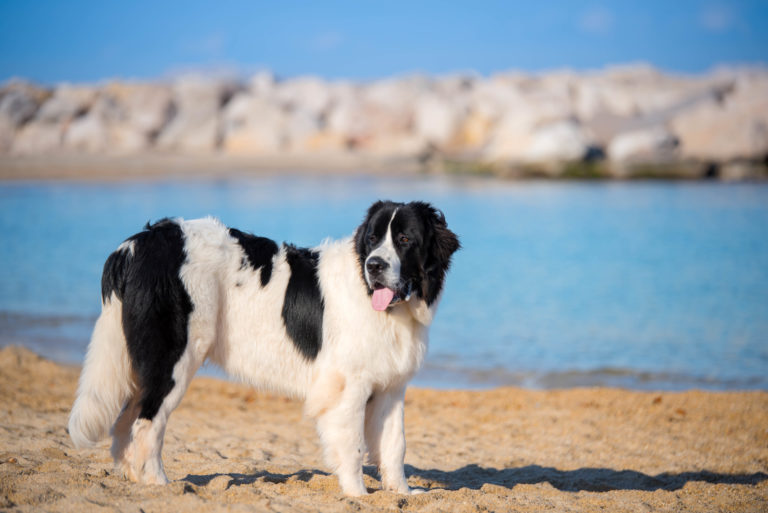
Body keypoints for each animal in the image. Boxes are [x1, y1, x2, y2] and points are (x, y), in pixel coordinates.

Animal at [69, 198, 460, 494]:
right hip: (174, 360)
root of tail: (138, 243)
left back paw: (134, 478)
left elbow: (394, 445)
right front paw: (357, 495)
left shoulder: (391, 388)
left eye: (405, 238)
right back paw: (160, 484)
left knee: (126, 421)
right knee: (147, 421)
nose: (374, 264)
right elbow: (353, 445)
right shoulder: (348, 387)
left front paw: (402, 493)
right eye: (374, 238)